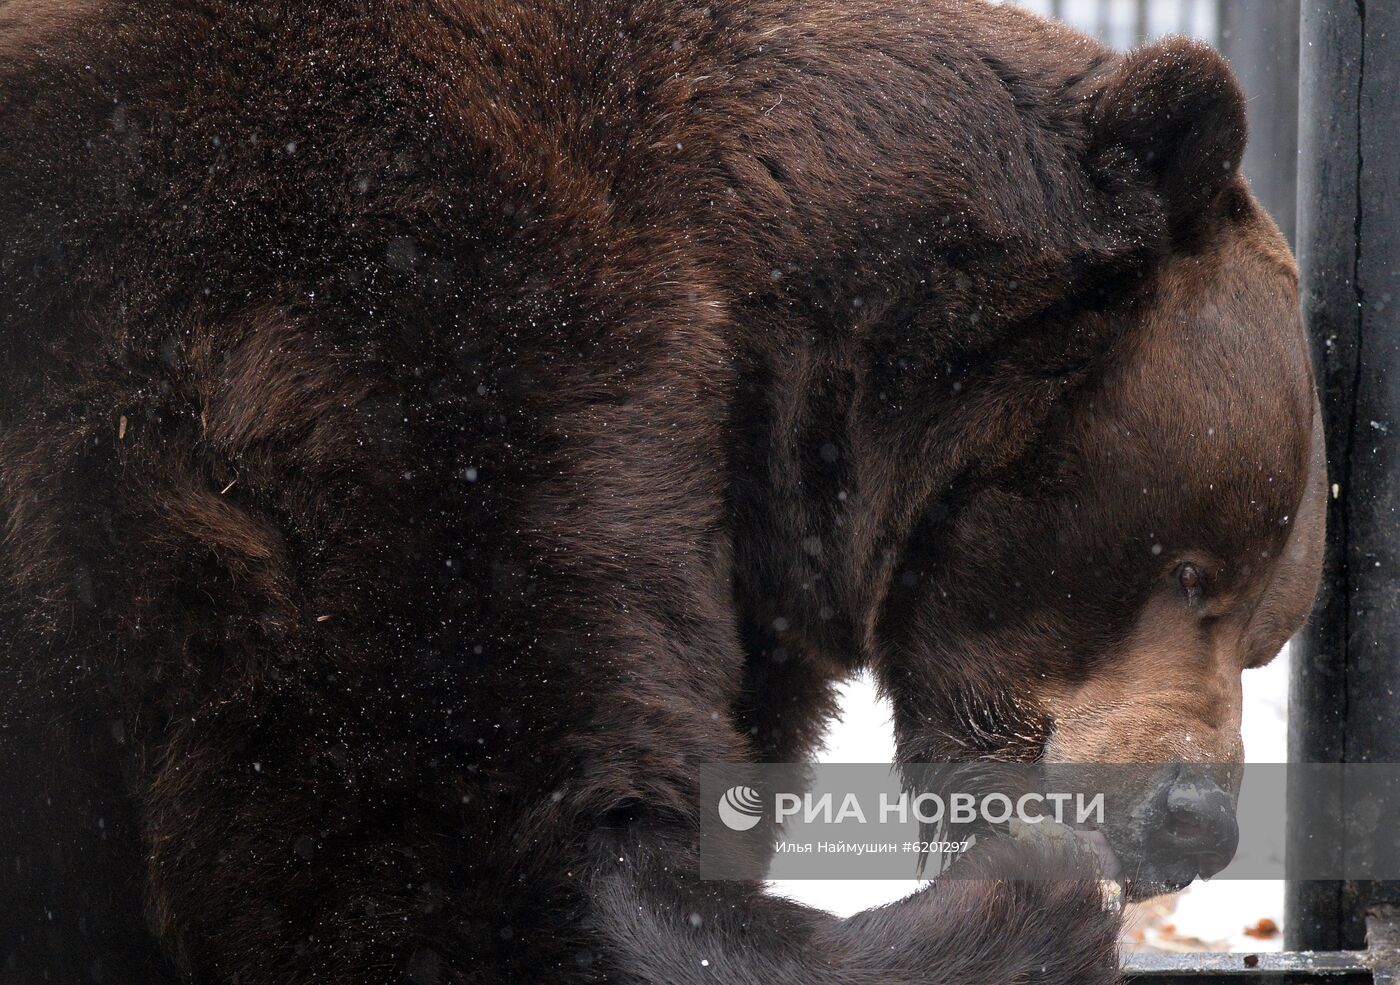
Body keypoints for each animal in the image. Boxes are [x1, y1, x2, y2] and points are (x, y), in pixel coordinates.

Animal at [0, 1, 1316, 985]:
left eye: (1266, 629)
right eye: (1190, 568)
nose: (1195, 820)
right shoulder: (409, 325)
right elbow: (435, 835)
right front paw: (1027, 904)